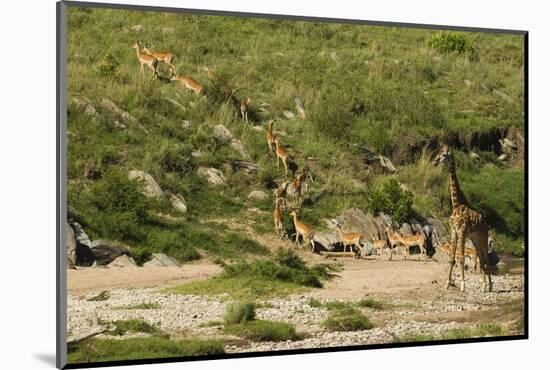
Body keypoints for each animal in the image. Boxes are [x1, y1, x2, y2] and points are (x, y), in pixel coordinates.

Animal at [436, 145, 496, 292]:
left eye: (444, 155)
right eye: (438, 152)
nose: (436, 161)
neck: (456, 204)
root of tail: (485, 222)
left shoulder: (462, 231)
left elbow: (462, 258)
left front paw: (463, 285)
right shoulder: (454, 232)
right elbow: (452, 258)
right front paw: (447, 283)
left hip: (483, 237)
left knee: (486, 259)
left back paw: (490, 286)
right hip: (475, 239)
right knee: (481, 259)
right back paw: (484, 286)